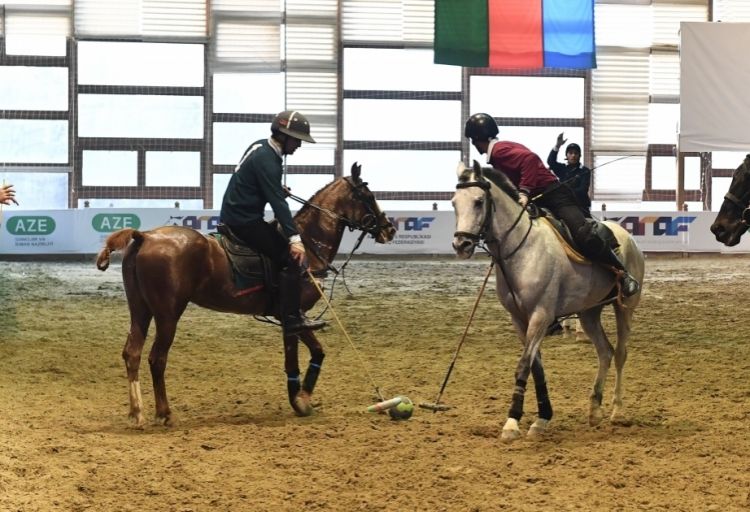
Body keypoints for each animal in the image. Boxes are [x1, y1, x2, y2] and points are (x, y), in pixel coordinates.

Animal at [97, 164, 396, 424]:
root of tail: (145, 236)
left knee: (132, 353)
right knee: (156, 358)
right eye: (368, 195)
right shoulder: (292, 317)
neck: (308, 247)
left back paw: (137, 412)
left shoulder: (291, 319)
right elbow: (298, 358)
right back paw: (164, 413)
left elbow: (315, 353)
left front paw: (303, 398)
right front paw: (299, 400)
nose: (389, 229)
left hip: (140, 309)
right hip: (168, 314)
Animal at [452, 161, 648, 440]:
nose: (461, 244)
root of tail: (628, 236)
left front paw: (512, 423)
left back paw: (617, 411)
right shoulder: (520, 319)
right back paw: (594, 410)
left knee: (620, 353)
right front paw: (542, 418)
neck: (522, 249)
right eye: (454, 203)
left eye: (479, 201)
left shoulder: (540, 315)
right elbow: (536, 368)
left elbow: (523, 365)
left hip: (625, 308)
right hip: (589, 313)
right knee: (605, 352)